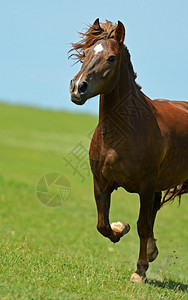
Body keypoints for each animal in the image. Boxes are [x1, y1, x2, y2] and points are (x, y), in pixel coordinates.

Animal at [68, 19, 188, 284]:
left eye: (111, 58)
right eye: (86, 52)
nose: (78, 88)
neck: (121, 134)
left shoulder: (146, 186)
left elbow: (142, 225)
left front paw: (139, 272)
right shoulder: (101, 183)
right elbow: (103, 225)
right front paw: (120, 227)